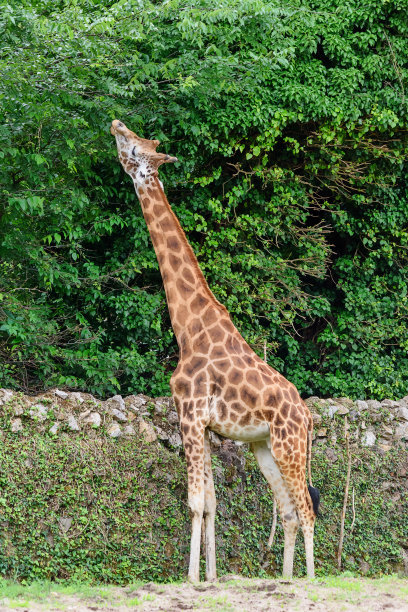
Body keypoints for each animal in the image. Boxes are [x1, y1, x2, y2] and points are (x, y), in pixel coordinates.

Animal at [111, 118, 318, 580]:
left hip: (289, 445)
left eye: (134, 147)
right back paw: (285, 580)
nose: (115, 123)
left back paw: (313, 582)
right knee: (288, 511)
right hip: (264, 447)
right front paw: (210, 575)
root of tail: (308, 416)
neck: (188, 329)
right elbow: (210, 503)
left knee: (308, 510)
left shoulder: (188, 413)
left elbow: (194, 502)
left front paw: (190, 578)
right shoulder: (203, 425)